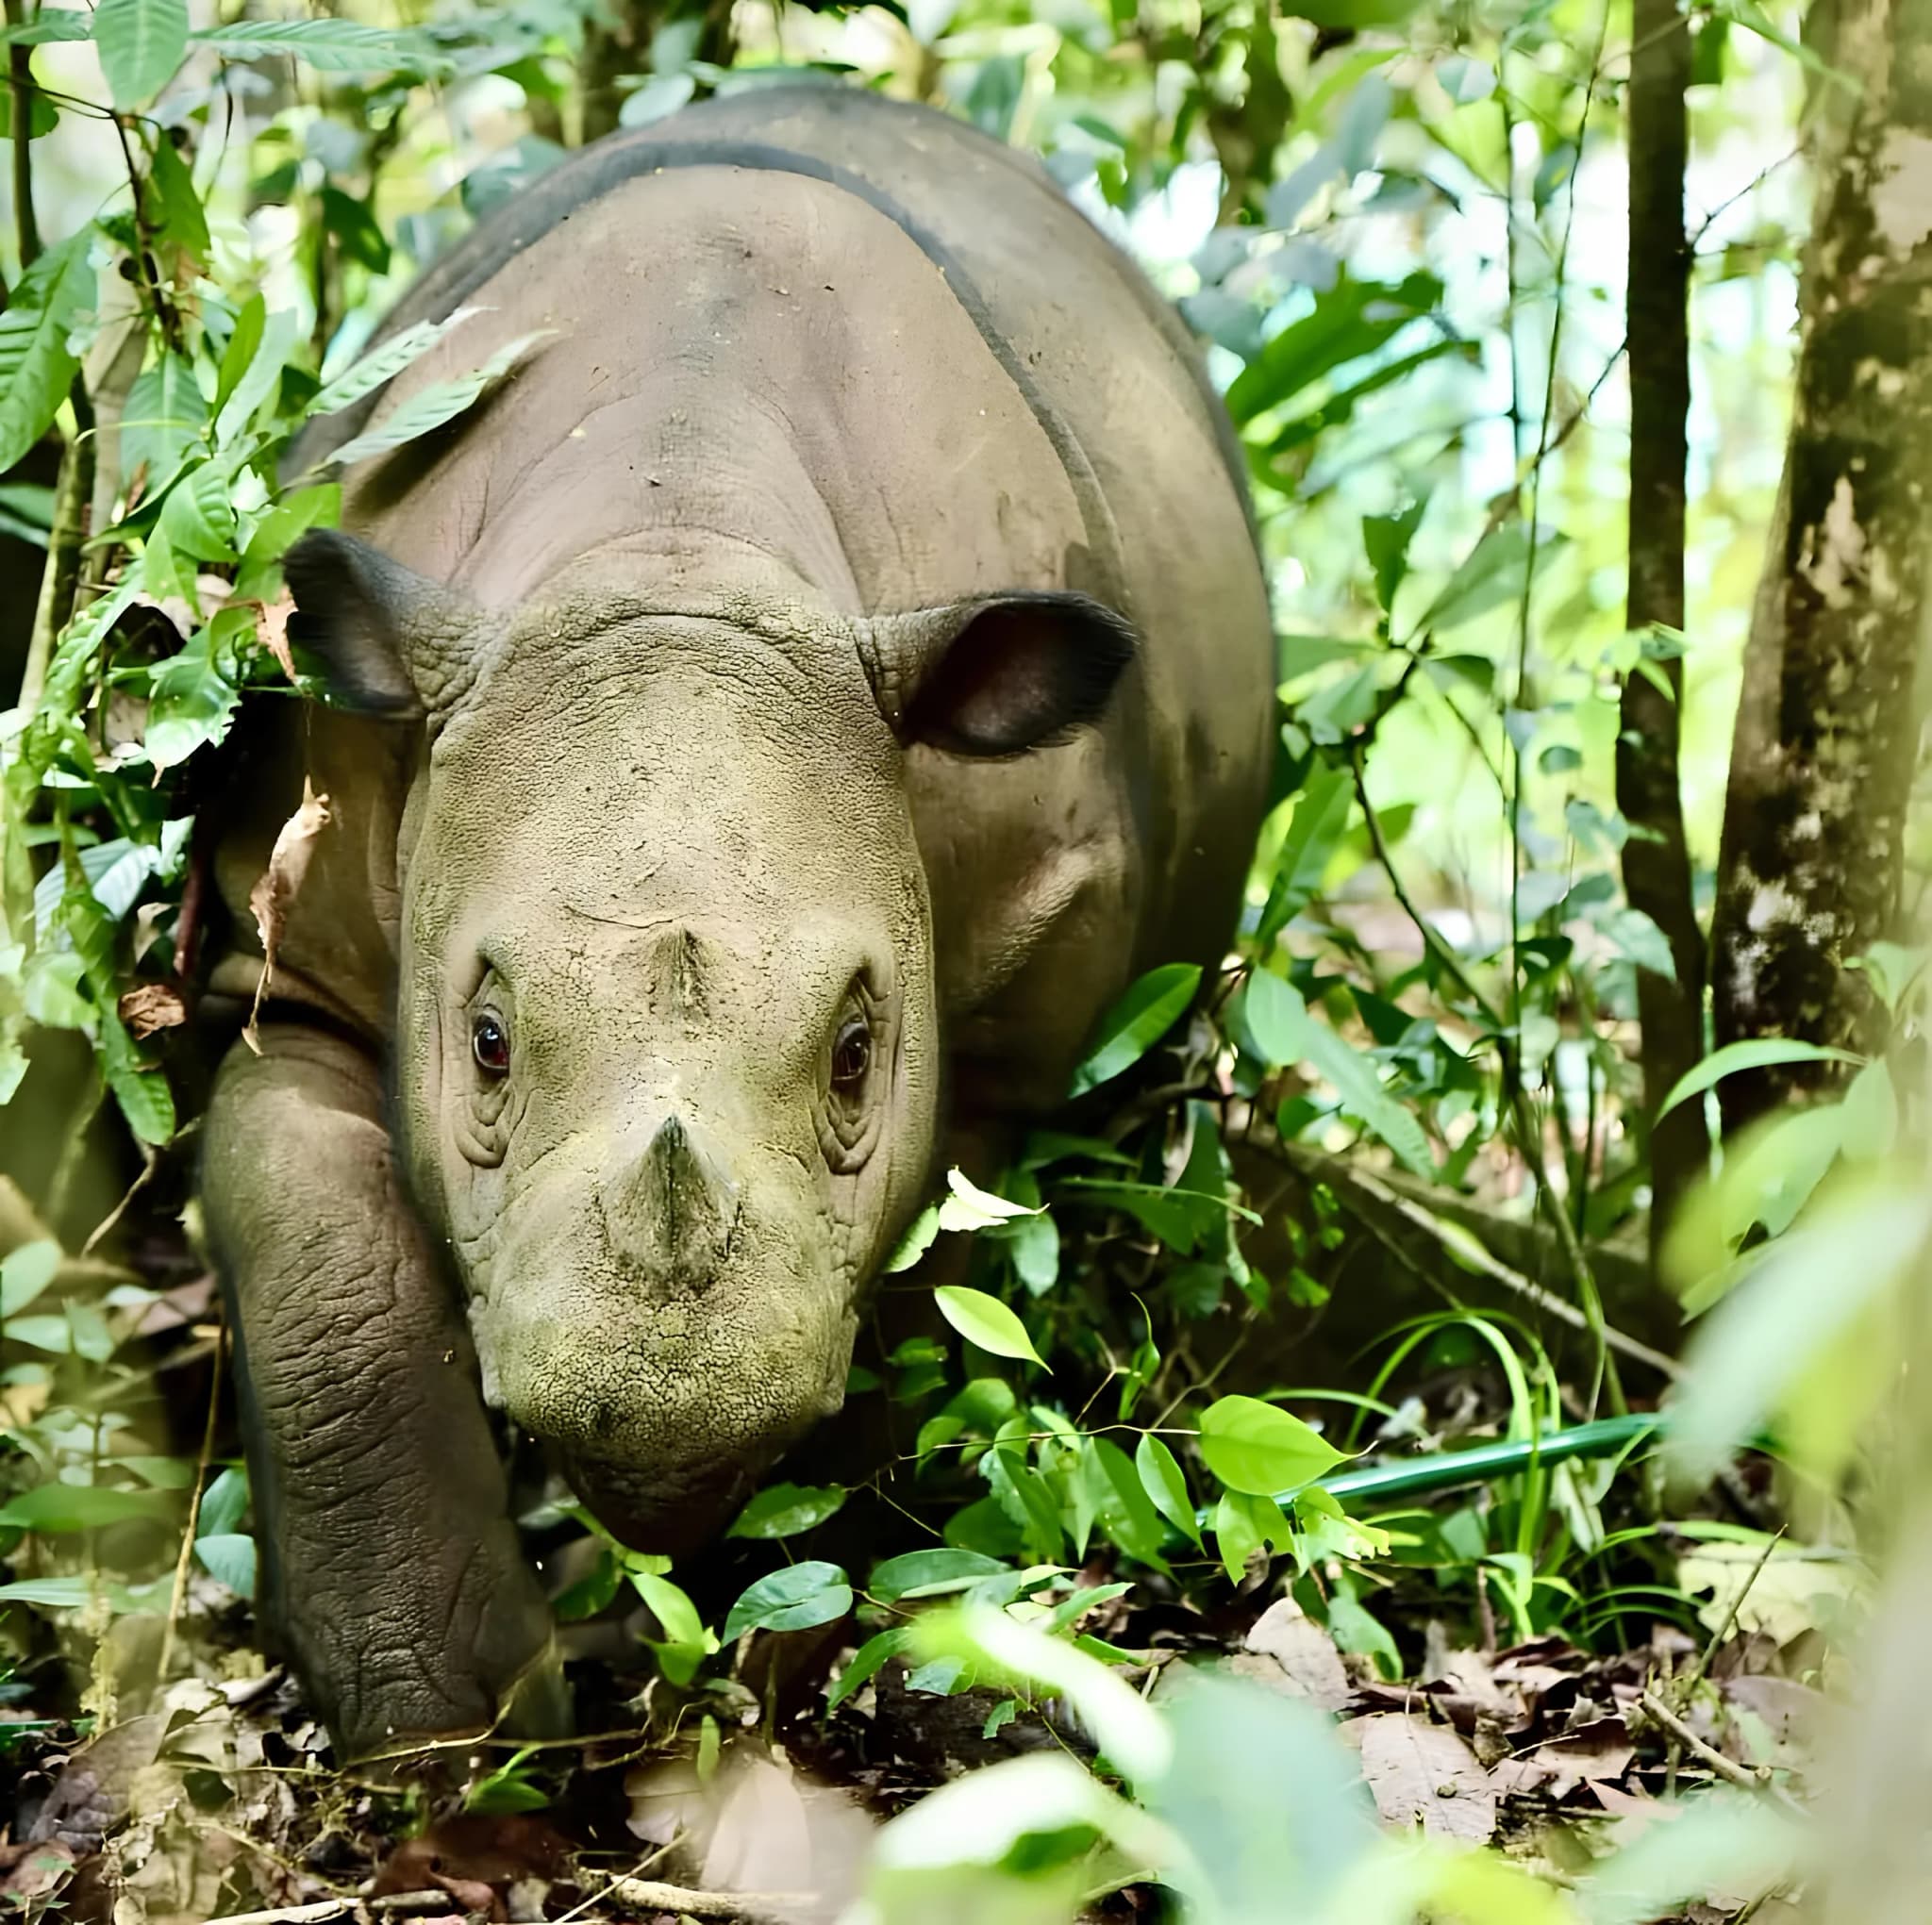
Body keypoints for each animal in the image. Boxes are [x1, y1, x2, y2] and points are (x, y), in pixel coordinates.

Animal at [200, 85, 1273, 1758]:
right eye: (486, 1043)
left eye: (853, 1058)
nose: (661, 1406)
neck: (674, 542)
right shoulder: (288, 938)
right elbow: (319, 1244)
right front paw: (453, 1729)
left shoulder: (1025, 980)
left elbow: (933, 1273)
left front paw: (796, 1659)